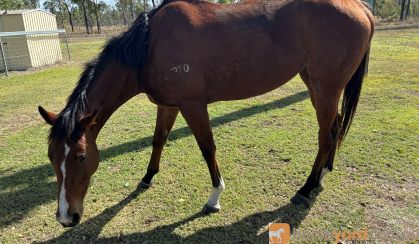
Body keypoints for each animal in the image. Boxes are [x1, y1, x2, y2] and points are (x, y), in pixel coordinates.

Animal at [38, 0, 374, 227]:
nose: (66, 217)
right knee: (334, 129)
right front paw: (147, 177)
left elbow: (207, 148)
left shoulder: (193, 105)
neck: (150, 44)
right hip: (317, 85)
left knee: (324, 135)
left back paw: (306, 188)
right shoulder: (168, 105)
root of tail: (359, 7)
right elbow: (158, 140)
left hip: (326, 87)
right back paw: (323, 175)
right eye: (52, 158)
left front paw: (214, 197)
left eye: (81, 156)